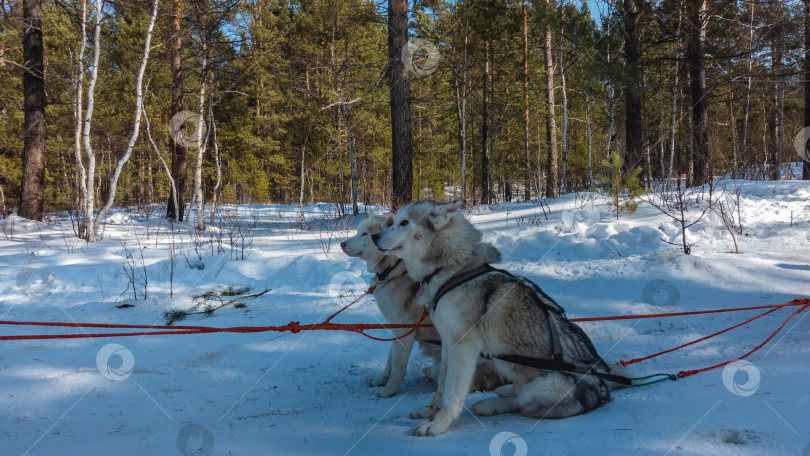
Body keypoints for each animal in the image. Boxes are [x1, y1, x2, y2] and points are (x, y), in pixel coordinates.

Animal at [370, 202, 616, 434]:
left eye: (403, 222)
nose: (374, 236)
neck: (450, 270)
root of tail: (603, 390)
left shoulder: (462, 347)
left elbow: (451, 394)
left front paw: (438, 424)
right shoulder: (448, 343)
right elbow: (441, 384)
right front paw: (431, 411)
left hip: (539, 386)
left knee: (522, 401)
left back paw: (489, 405)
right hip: (506, 364)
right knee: (516, 393)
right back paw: (495, 398)